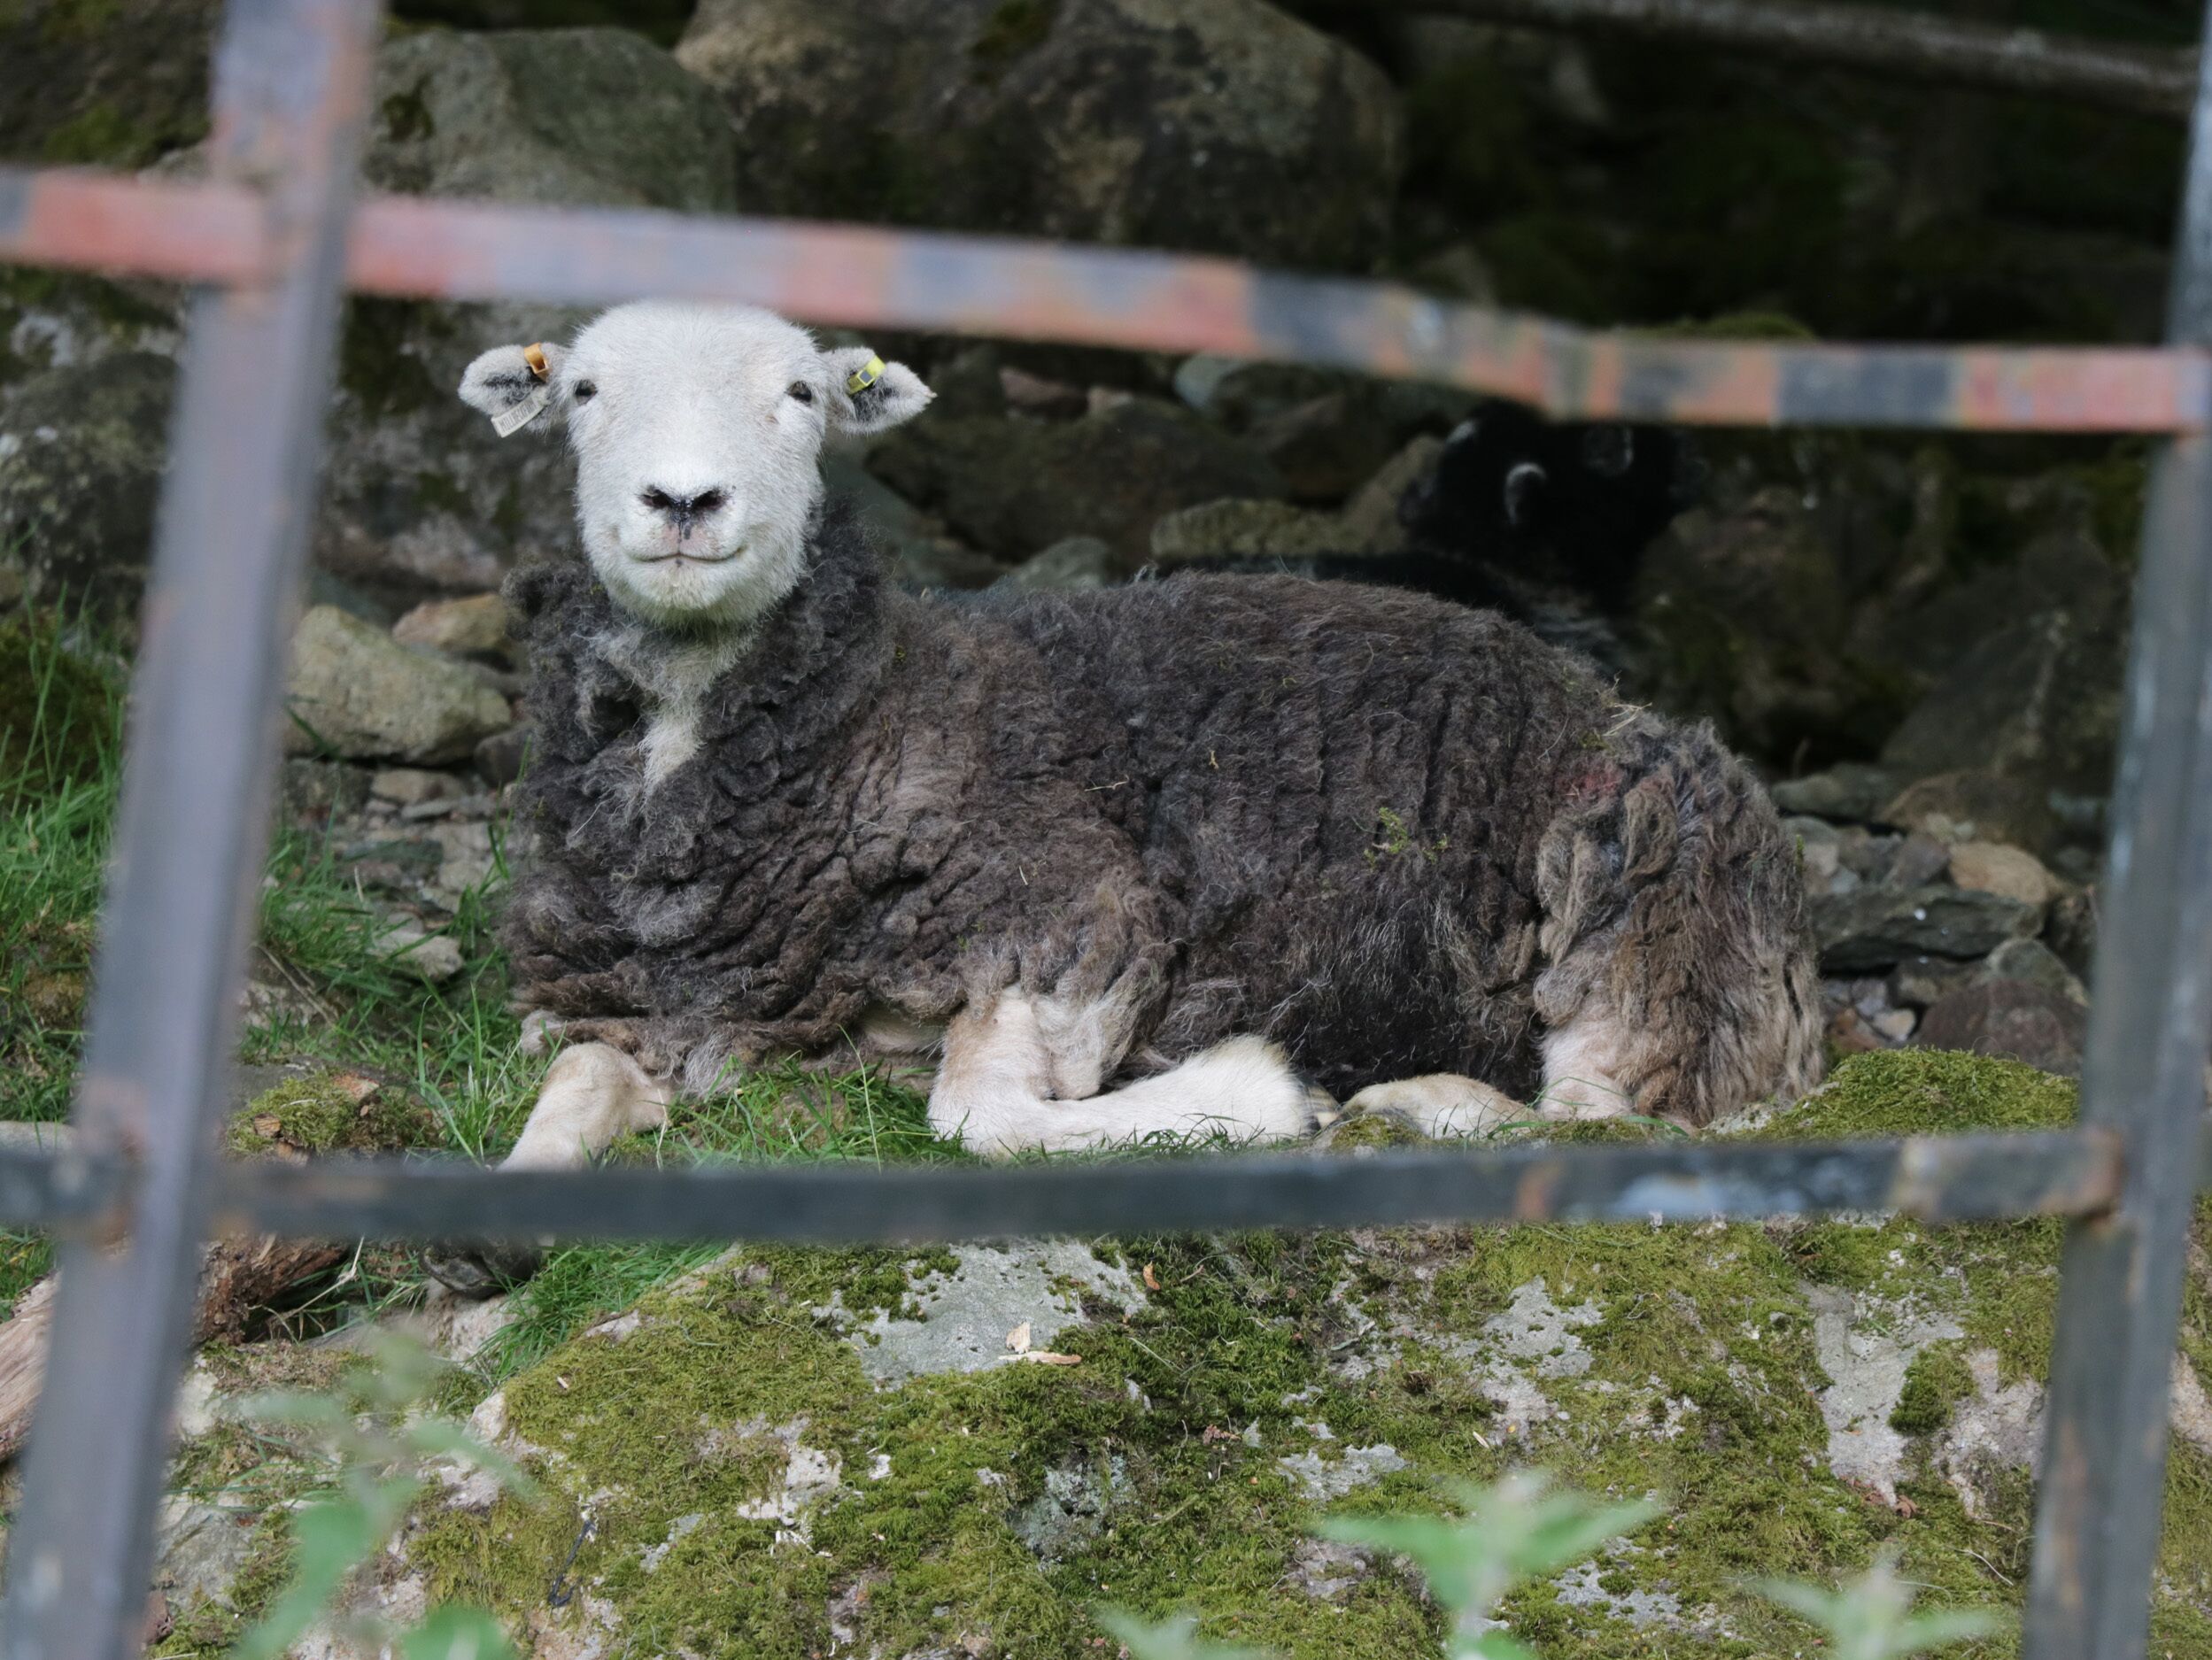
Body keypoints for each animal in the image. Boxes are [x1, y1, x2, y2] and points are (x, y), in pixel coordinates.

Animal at [430, 300, 1822, 1292]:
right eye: (582, 392)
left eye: (803, 395)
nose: (682, 502)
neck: (872, 711)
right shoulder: (655, 1009)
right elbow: (581, 1078)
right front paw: (494, 1223)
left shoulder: (1070, 910)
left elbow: (978, 1120)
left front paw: (1261, 1095)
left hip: (1645, 909)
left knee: (1613, 1123)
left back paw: (1407, 1105)